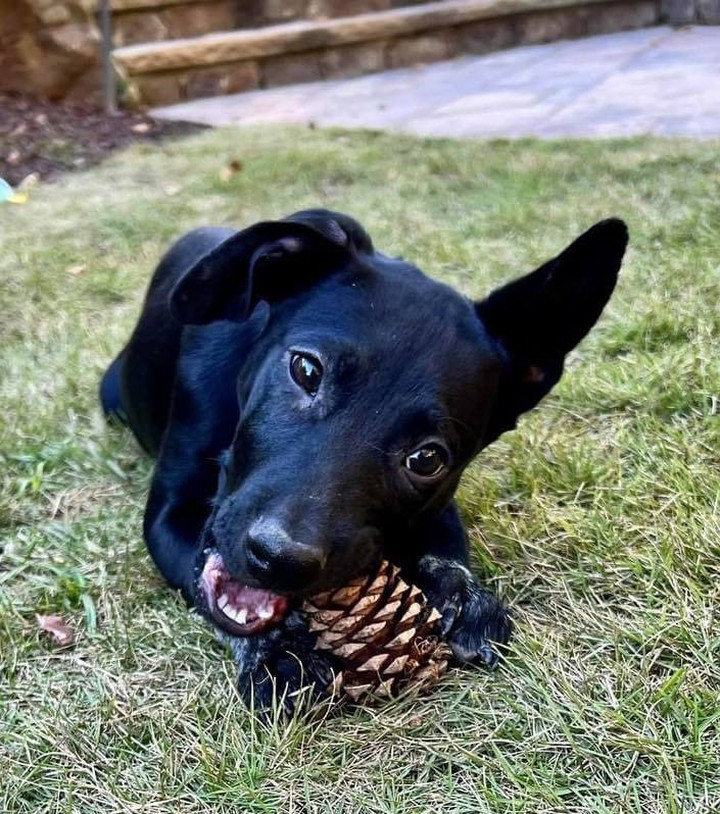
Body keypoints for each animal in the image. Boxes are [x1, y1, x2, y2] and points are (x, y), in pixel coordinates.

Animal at [98, 212, 628, 712]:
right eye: (305, 368)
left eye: (427, 459)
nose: (279, 559)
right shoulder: (169, 515)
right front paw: (277, 649)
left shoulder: (438, 502)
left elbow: (447, 550)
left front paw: (464, 598)